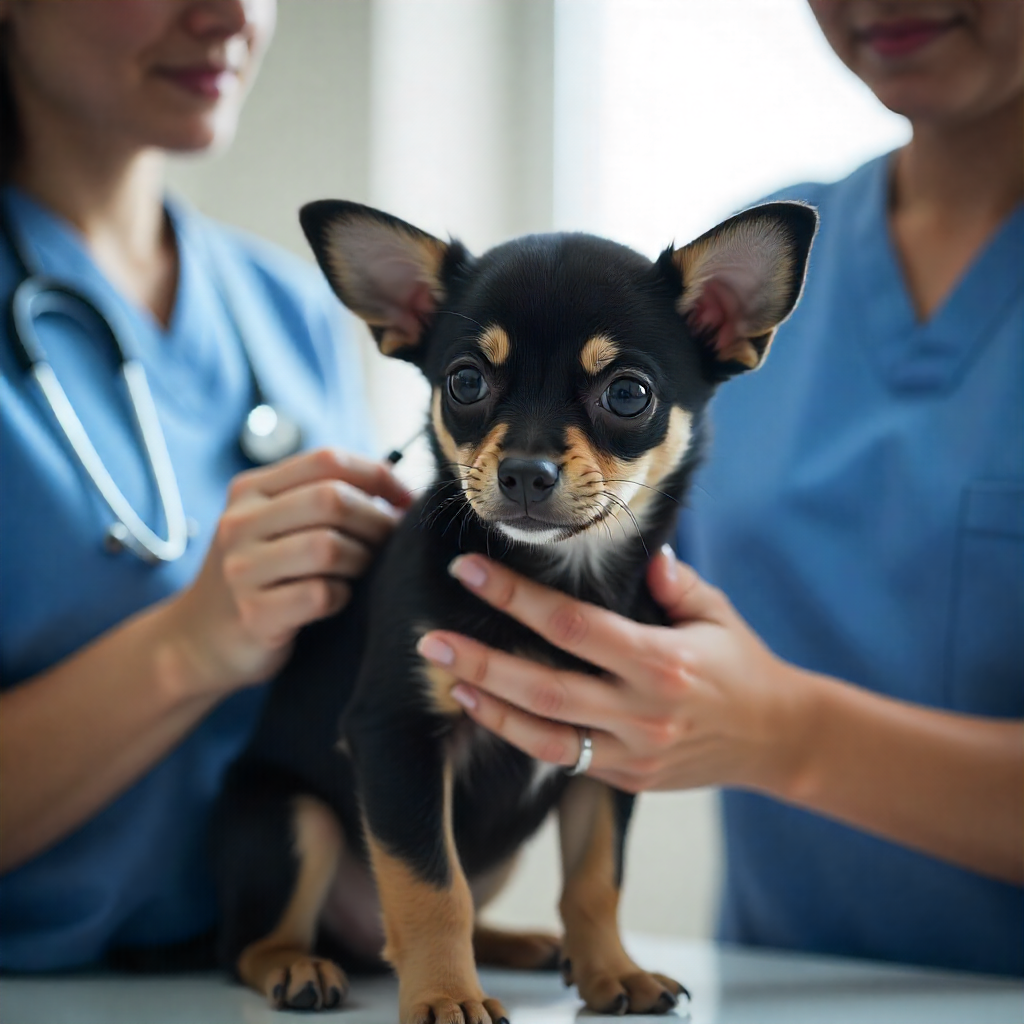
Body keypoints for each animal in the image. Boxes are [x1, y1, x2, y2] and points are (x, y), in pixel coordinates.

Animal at [210, 199, 816, 1023]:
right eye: (465, 382)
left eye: (628, 394)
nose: (527, 472)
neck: (562, 576)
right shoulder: (398, 736)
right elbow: (431, 885)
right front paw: (444, 995)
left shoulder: (610, 756)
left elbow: (595, 880)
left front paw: (615, 972)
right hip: (295, 819)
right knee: (252, 942)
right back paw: (297, 964)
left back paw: (523, 943)